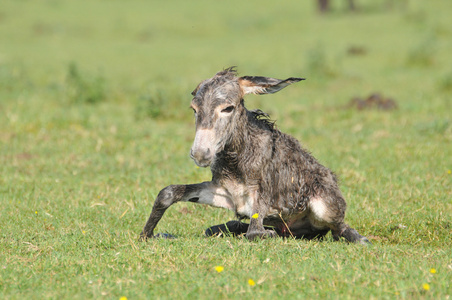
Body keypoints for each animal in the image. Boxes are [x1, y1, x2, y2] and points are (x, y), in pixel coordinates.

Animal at [140, 67, 370, 244]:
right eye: (194, 109)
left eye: (228, 108)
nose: (200, 154)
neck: (237, 160)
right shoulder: (225, 193)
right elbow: (168, 193)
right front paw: (150, 234)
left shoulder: (259, 201)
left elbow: (254, 233)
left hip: (325, 208)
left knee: (340, 227)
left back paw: (360, 239)